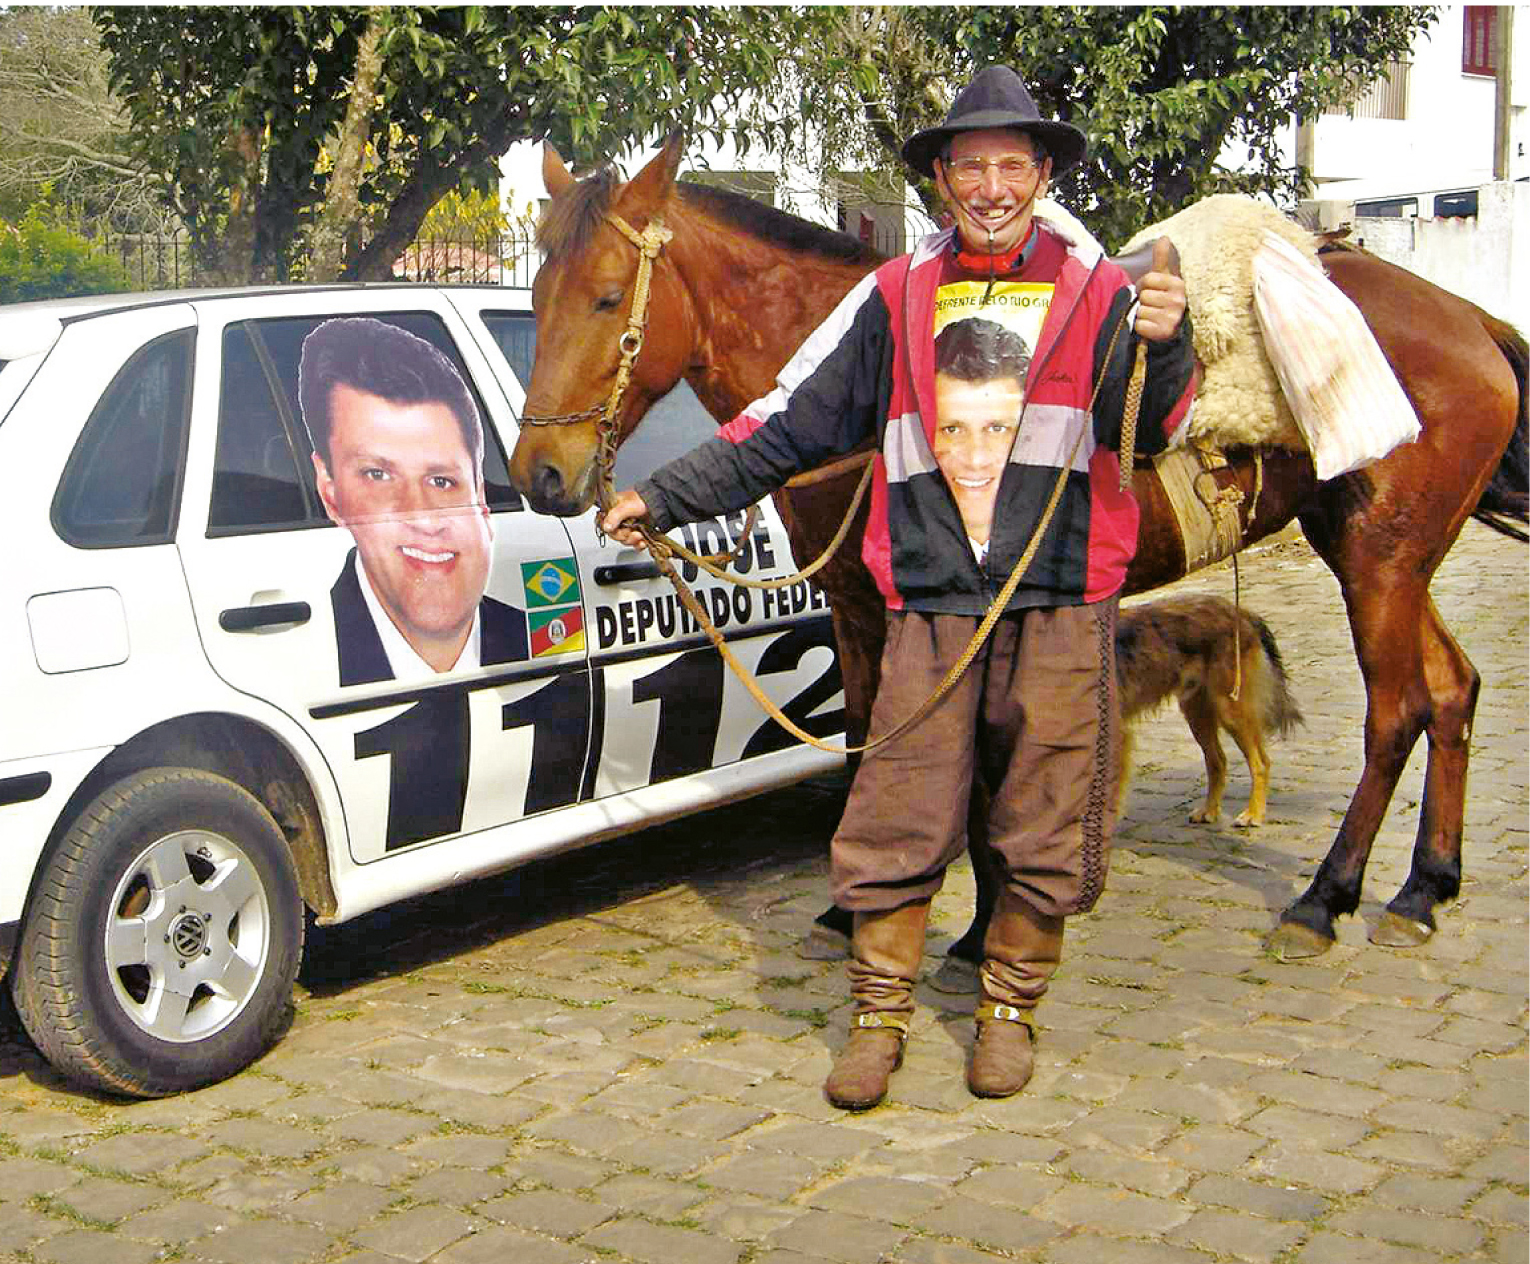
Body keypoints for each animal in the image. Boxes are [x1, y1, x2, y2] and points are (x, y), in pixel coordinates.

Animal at [1113, 593, 1303, 826]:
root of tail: (1242, 612)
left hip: (1230, 709)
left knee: (1261, 763)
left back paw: (1254, 813)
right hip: (1196, 711)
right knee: (1218, 761)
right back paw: (1209, 810)